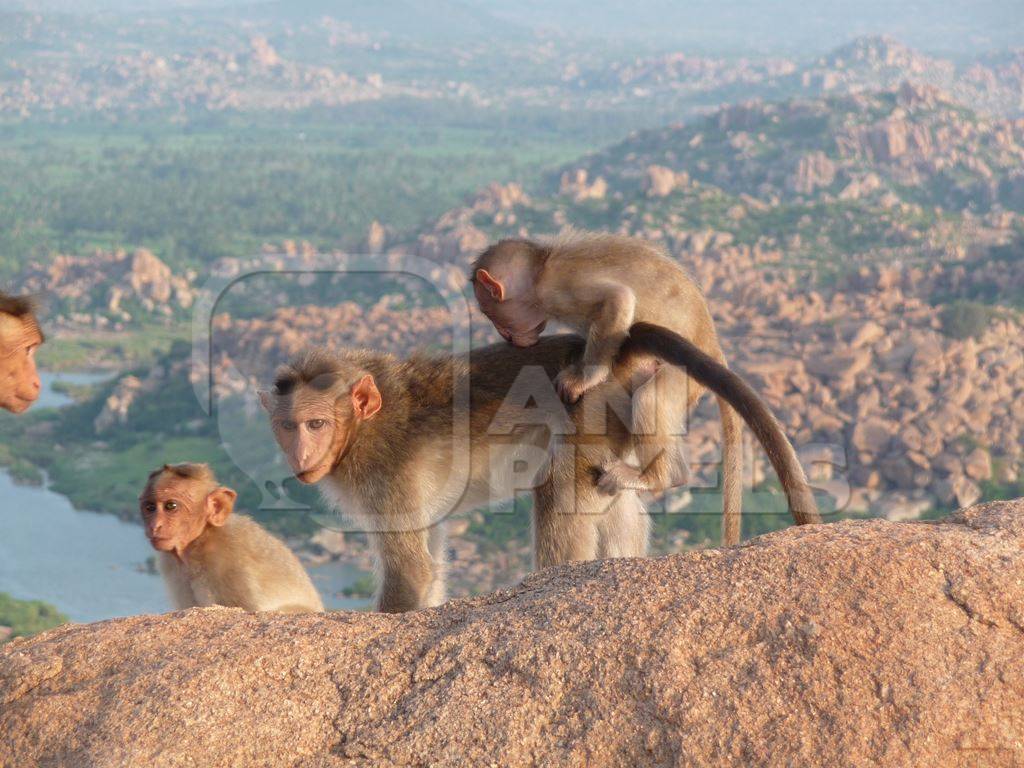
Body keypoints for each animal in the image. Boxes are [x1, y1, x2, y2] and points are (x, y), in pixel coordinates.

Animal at [260, 323, 819, 614]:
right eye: (289, 426)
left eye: (316, 423)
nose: (300, 455)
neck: (362, 429)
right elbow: (430, 564)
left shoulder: (384, 478)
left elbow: (410, 572)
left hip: (590, 412)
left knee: (560, 489)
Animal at [471, 231, 745, 544]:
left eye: (492, 315)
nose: (506, 336)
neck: (540, 271)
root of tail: (712, 346)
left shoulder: (559, 289)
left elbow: (618, 300)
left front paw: (585, 377)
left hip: (682, 376)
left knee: (649, 398)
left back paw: (657, 477)